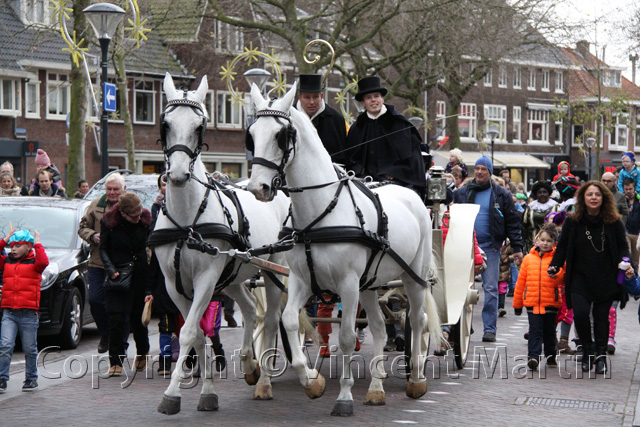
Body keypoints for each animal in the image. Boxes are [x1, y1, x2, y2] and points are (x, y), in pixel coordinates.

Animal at [152, 73, 288, 414]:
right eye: (165, 123)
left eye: (200, 125)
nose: (177, 174)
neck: (188, 220)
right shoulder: (174, 284)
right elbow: (198, 335)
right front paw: (207, 393)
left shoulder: (206, 278)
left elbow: (188, 332)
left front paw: (171, 395)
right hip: (235, 275)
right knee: (251, 311)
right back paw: (250, 365)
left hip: (274, 269)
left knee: (270, 319)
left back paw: (264, 378)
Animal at [246, 82, 444, 416]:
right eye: (251, 134)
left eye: (281, 135)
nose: (257, 189)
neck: (321, 211)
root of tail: (411, 195)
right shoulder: (301, 279)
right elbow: (289, 321)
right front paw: (312, 382)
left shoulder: (348, 285)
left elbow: (349, 337)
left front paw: (344, 397)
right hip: (371, 284)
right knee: (378, 328)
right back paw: (376, 389)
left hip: (412, 278)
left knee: (418, 320)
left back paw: (416, 380)